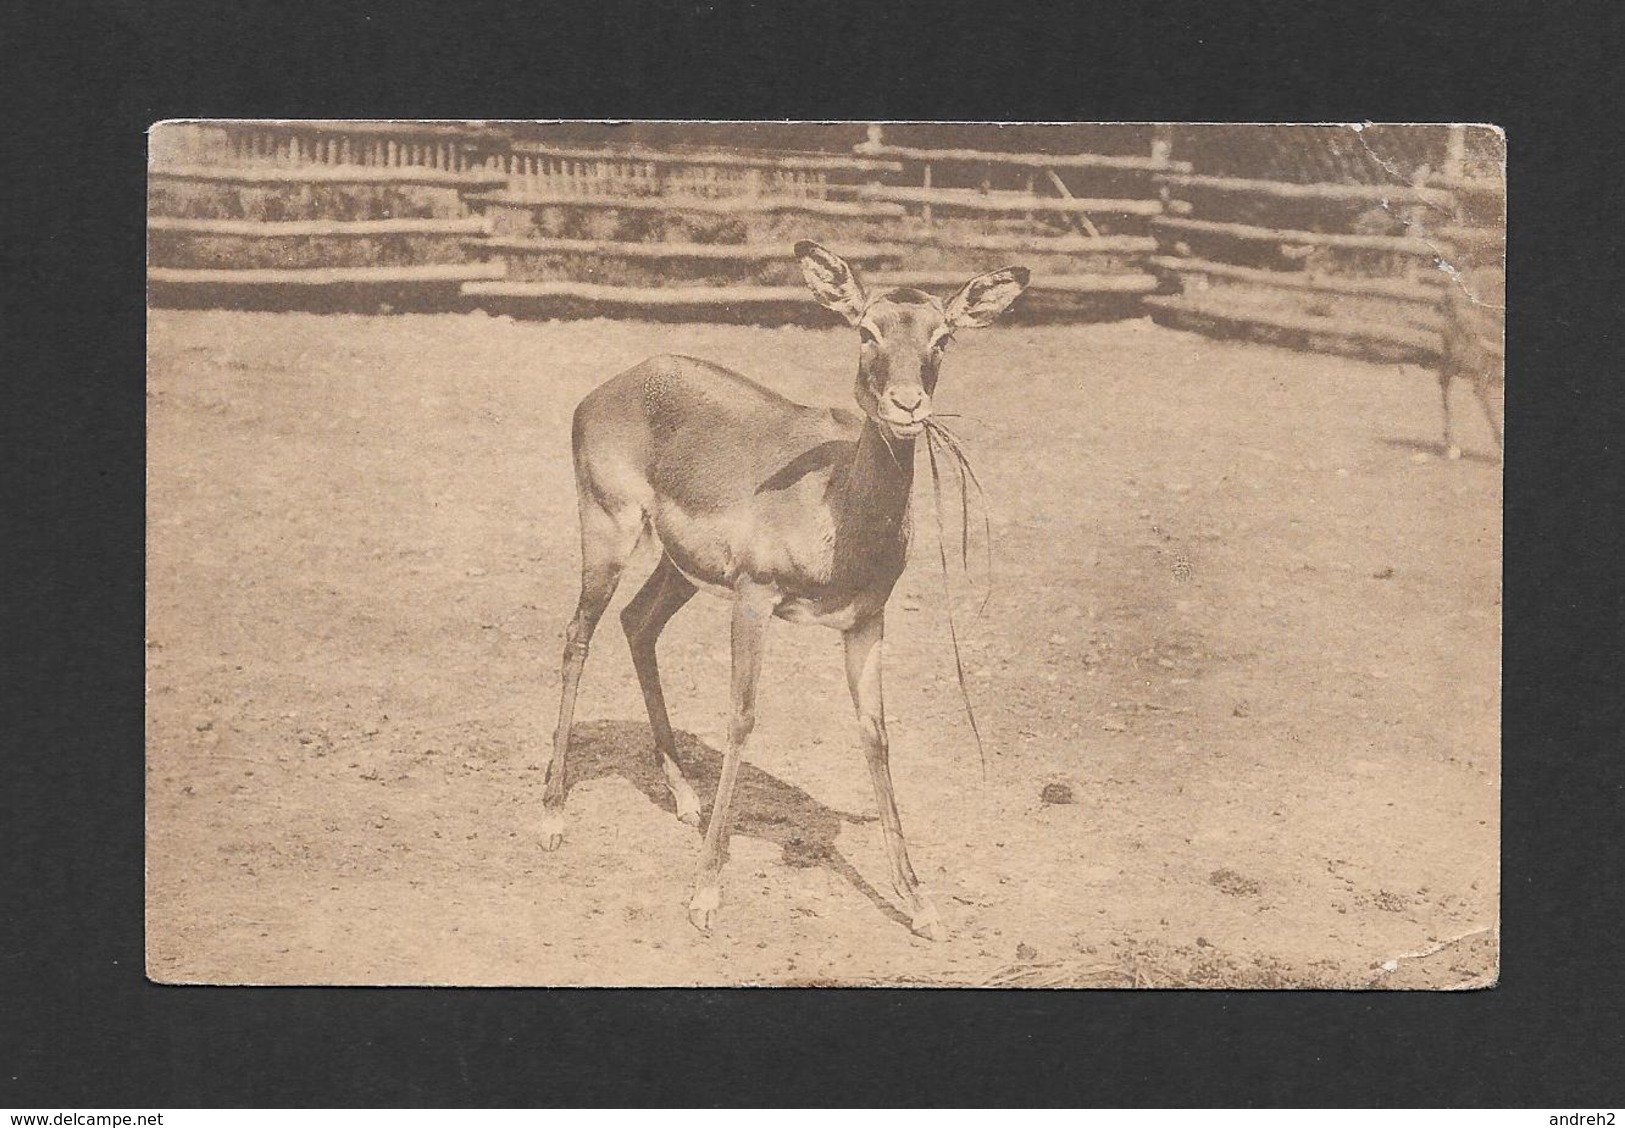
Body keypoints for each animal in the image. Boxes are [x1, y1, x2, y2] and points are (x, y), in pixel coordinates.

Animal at [546, 243, 1027, 942]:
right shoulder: (755, 599)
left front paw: (921, 904)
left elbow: (876, 734)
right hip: (608, 533)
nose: (908, 405)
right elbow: (743, 717)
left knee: (638, 623)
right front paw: (706, 893)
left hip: (678, 568)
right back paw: (553, 815)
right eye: (866, 330)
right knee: (577, 635)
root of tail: (612, 386)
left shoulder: (866, 621)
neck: (836, 504)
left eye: (943, 336)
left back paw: (685, 797)